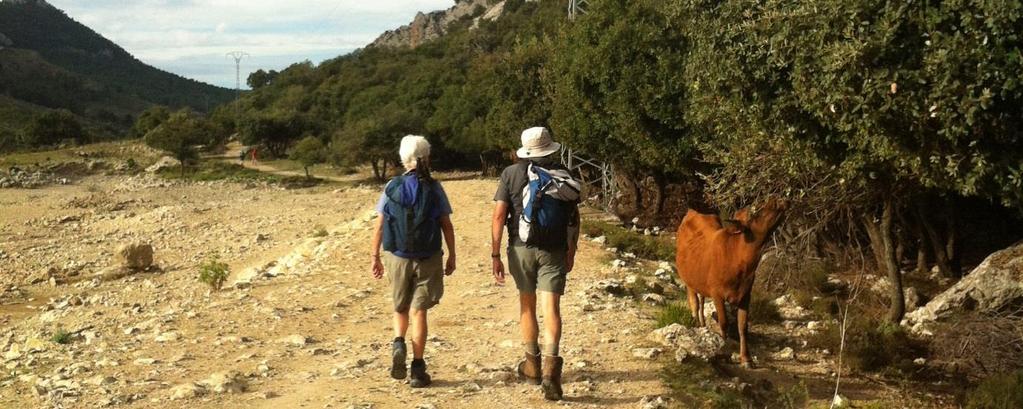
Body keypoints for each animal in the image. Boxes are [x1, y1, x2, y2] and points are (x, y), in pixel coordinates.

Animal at [675, 198, 785, 368]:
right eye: (756, 210)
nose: (777, 199)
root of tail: (693, 212)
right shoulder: (717, 295)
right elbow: (724, 323)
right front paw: (724, 352)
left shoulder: (746, 296)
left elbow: (743, 327)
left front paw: (746, 359)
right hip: (688, 281)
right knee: (694, 303)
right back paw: (696, 324)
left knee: (701, 302)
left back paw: (703, 325)